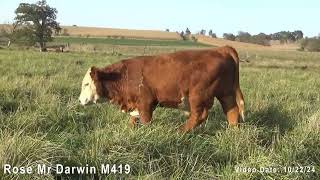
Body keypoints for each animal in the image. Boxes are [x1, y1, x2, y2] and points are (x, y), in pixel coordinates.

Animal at [79, 45, 245, 132]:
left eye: (86, 84)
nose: (80, 100)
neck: (123, 75)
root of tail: (221, 49)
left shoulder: (145, 101)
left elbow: (145, 120)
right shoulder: (136, 103)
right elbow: (133, 118)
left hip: (198, 95)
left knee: (200, 115)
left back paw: (180, 132)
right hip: (226, 94)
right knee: (232, 111)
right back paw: (233, 132)